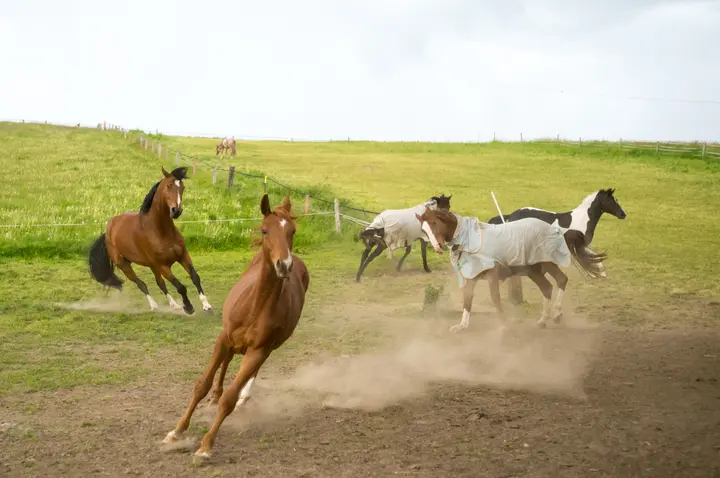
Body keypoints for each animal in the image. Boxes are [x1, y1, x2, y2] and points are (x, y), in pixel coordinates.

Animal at [88, 166, 213, 315]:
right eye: (168, 185)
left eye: (182, 187)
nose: (176, 211)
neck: (160, 231)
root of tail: (108, 230)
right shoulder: (163, 266)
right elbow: (180, 286)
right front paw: (188, 308)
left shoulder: (183, 256)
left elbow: (195, 278)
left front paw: (207, 306)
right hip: (125, 266)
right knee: (141, 284)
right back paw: (154, 306)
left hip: (152, 265)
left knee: (160, 284)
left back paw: (174, 305)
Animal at [163, 194, 310, 459]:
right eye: (265, 230)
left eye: (292, 231)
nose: (284, 265)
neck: (256, 307)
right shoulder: (224, 338)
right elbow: (202, 385)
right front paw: (177, 432)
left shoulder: (259, 350)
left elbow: (230, 399)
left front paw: (206, 447)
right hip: (230, 341)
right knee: (227, 360)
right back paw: (215, 395)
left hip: (269, 347)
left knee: (250, 371)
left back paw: (243, 396)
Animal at [416, 207, 607, 331]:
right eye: (423, 230)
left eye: (434, 222)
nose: (437, 247)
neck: (470, 240)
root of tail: (556, 230)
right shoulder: (471, 276)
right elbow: (467, 299)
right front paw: (462, 325)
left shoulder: (492, 275)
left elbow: (495, 298)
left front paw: (504, 323)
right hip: (533, 271)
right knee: (547, 288)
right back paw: (543, 320)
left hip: (547, 263)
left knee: (561, 280)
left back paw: (557, 314)